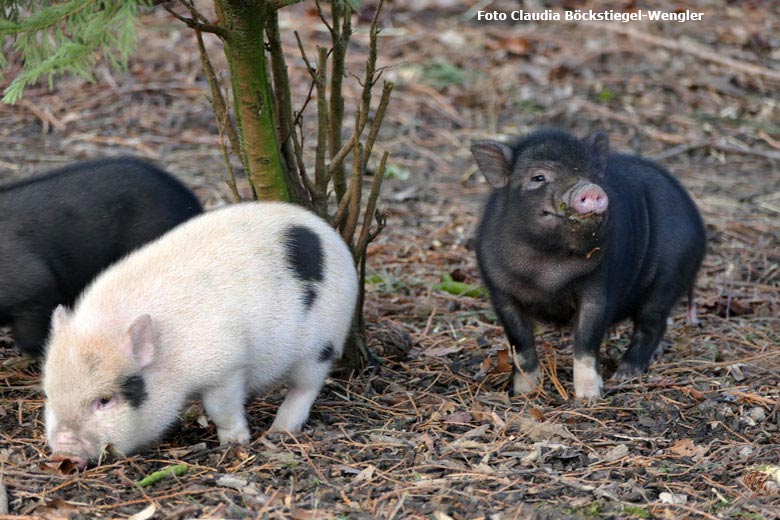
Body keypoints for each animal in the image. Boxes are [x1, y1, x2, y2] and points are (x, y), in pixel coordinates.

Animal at [470, 129, 708, 398]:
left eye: (592, 174)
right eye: (538, 177)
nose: (591, 188)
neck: (546, 269)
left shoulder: (598, 288)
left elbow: (586, 344)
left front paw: (589, 398)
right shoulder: (501, 294)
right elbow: (521, 346)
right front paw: (524, 394)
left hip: (669, 278)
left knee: (651, 325)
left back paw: (625, 374)